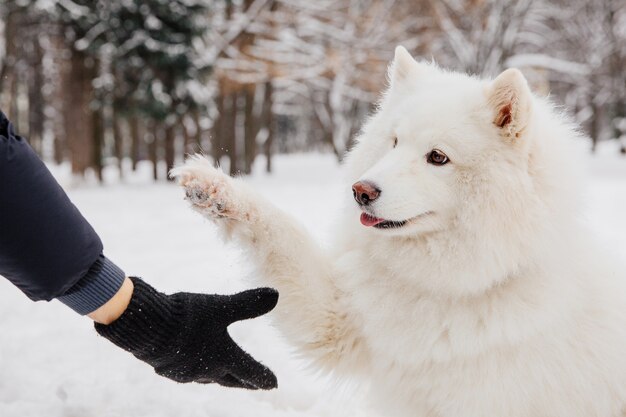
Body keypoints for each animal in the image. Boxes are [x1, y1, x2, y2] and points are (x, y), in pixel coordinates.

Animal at [172, 47, 626, 414]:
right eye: (393, 142)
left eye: (438, 157)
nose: (360, 191)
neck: (451, 286)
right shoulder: (342, 321)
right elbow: (284, 232)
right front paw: (214, 189)